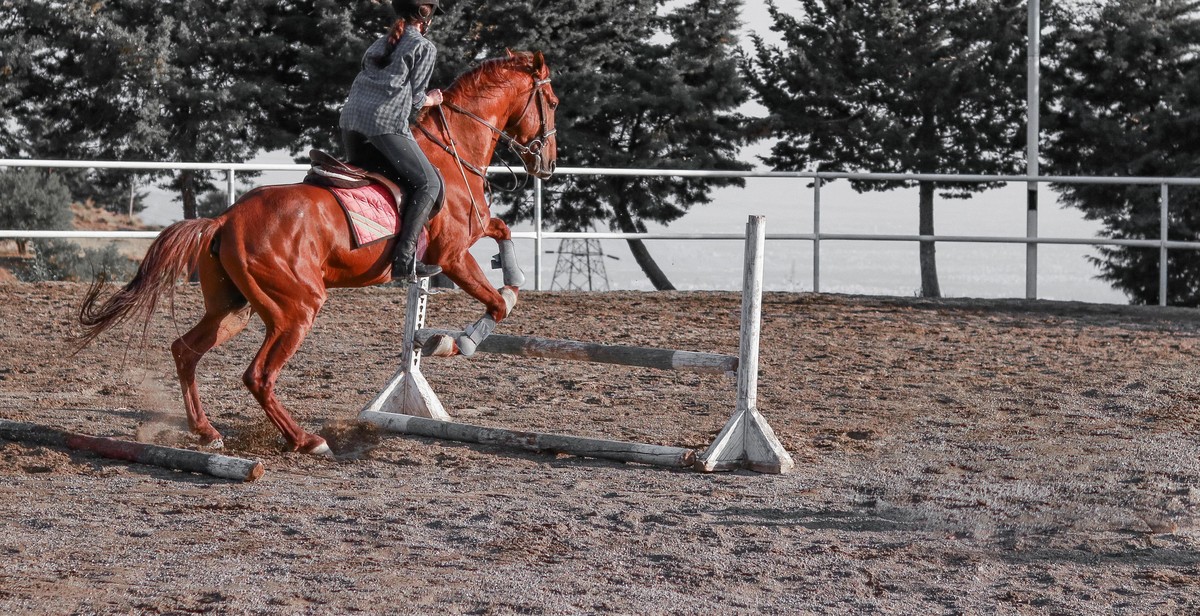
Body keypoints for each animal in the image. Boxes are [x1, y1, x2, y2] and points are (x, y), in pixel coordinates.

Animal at [79, 50, 556, 453]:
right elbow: (496, 305)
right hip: (297, 308)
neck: (452, 149)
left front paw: (512, 278)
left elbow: (503, 234)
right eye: (550, 101)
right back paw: (306, 440)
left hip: (233, 309)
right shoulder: (453, 255)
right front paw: (456, 342)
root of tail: (226, 219)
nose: (548, 163)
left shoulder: (472, 235)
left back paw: (208, 431)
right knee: (259, 375)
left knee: (186, 351)